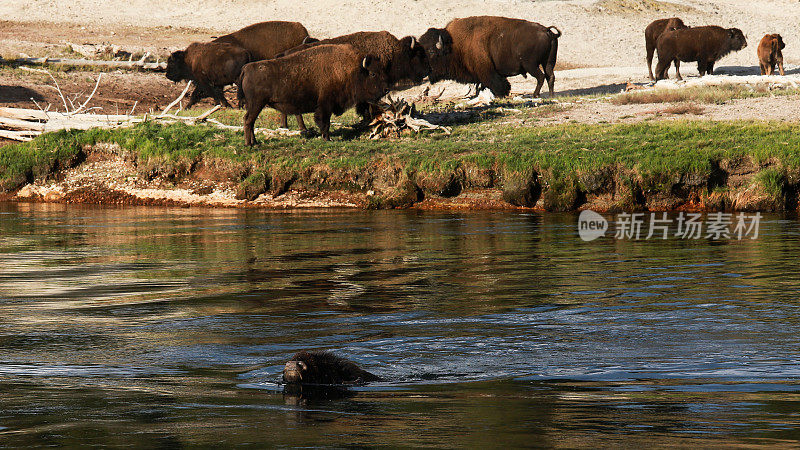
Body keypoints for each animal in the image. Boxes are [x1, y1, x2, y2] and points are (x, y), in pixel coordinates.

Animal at [236, 44, 390, 144]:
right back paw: (250, 144)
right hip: (257, 104)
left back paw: (254, 142)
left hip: (254, 105)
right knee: (248, 120)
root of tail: (246, 68)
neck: (352, 70)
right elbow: (324, 122)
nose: (386, 89)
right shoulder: (325, 105)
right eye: (373, 73)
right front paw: (327, 138)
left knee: (250, 121)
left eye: (381, 71)